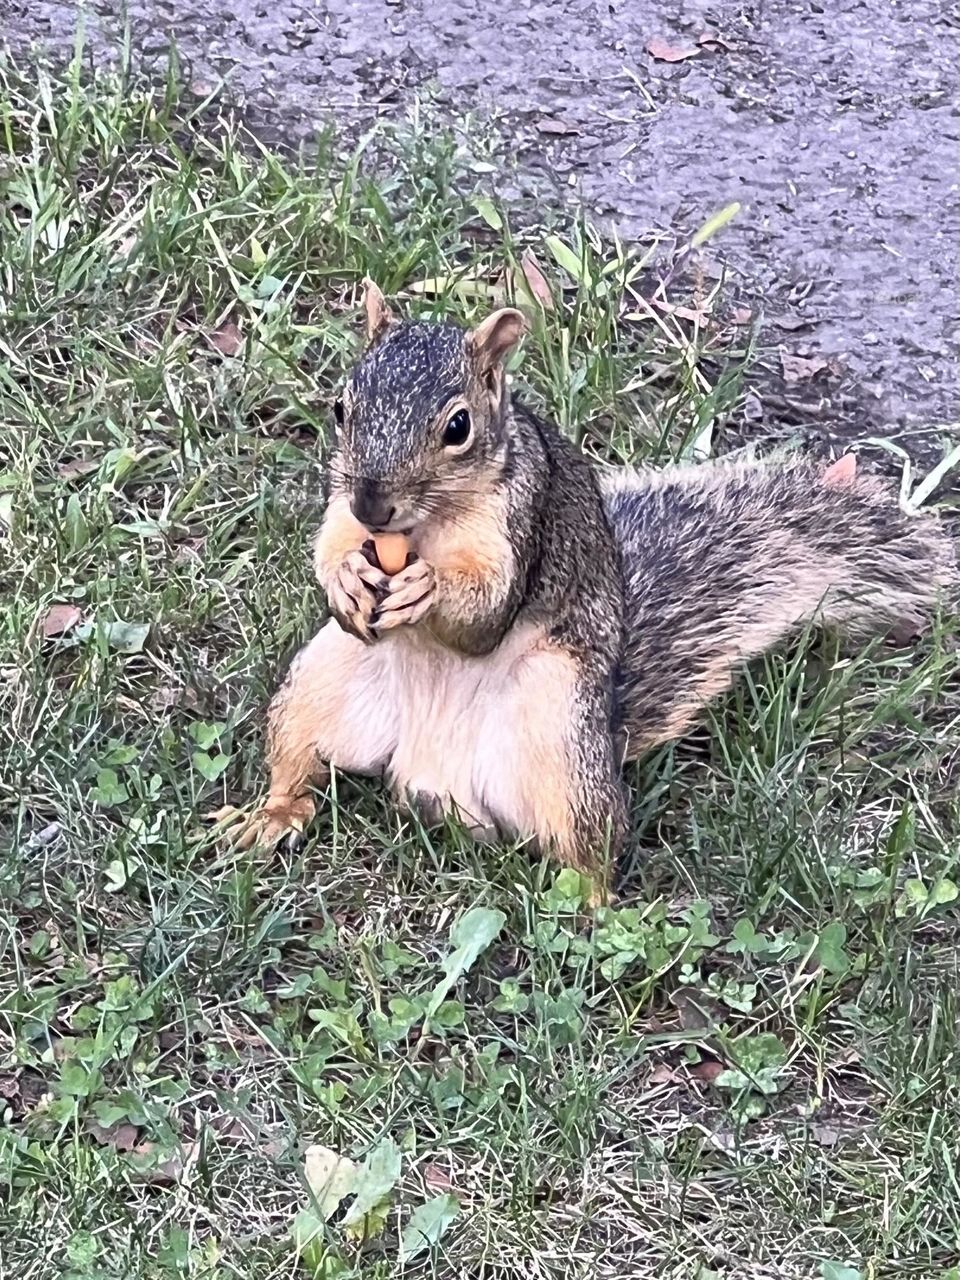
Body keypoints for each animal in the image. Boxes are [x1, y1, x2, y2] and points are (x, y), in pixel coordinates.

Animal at [216, 280, 957, 903]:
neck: (421, 528)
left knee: (592, 848)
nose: (372, 503)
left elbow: (484, 614)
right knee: (299, 769)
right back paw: (269, 815)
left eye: (458, 427)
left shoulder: (524, 520)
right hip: (323, 682)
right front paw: (347, 578)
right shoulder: (341, 513)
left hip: (558, 733)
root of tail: (430, 773)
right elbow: (329, 552)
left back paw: (593, 909)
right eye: (341, 408)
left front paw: (426, 587)